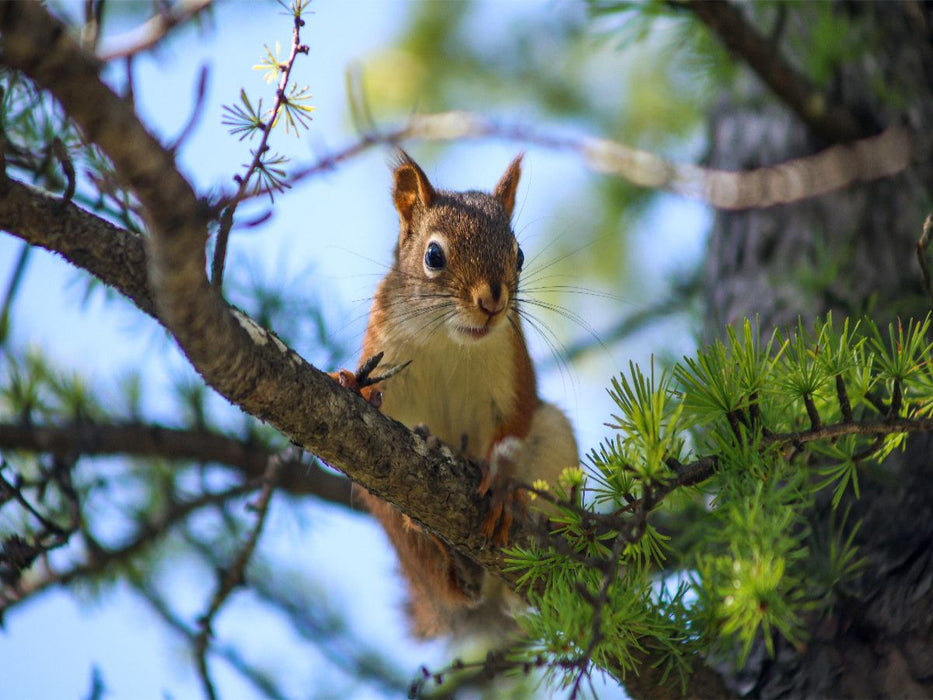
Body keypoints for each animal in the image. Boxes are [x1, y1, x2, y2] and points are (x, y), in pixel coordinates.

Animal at [338, 152, 579, 638]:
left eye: (519, 255)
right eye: (434, 256)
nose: (493, 301)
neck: (449, 339)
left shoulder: (514, 366)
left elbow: (516, 421)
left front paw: (502, 487)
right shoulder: (384, 339)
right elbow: (381, 393)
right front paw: (358, 387)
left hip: (555, 439)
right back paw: (439, 546)